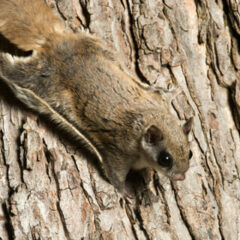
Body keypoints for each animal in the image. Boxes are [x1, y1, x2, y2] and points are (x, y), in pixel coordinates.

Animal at [0, 0, 193, 193]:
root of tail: (51, 41)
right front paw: (124, 191)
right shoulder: (119, 152)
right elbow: (115, 173)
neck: (146, 121)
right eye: (165, 159)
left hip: (96, 46)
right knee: (15, 73)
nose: (181, 177)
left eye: (190, 153)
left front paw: (172, 92)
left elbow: (159, 93)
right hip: (39, 80)